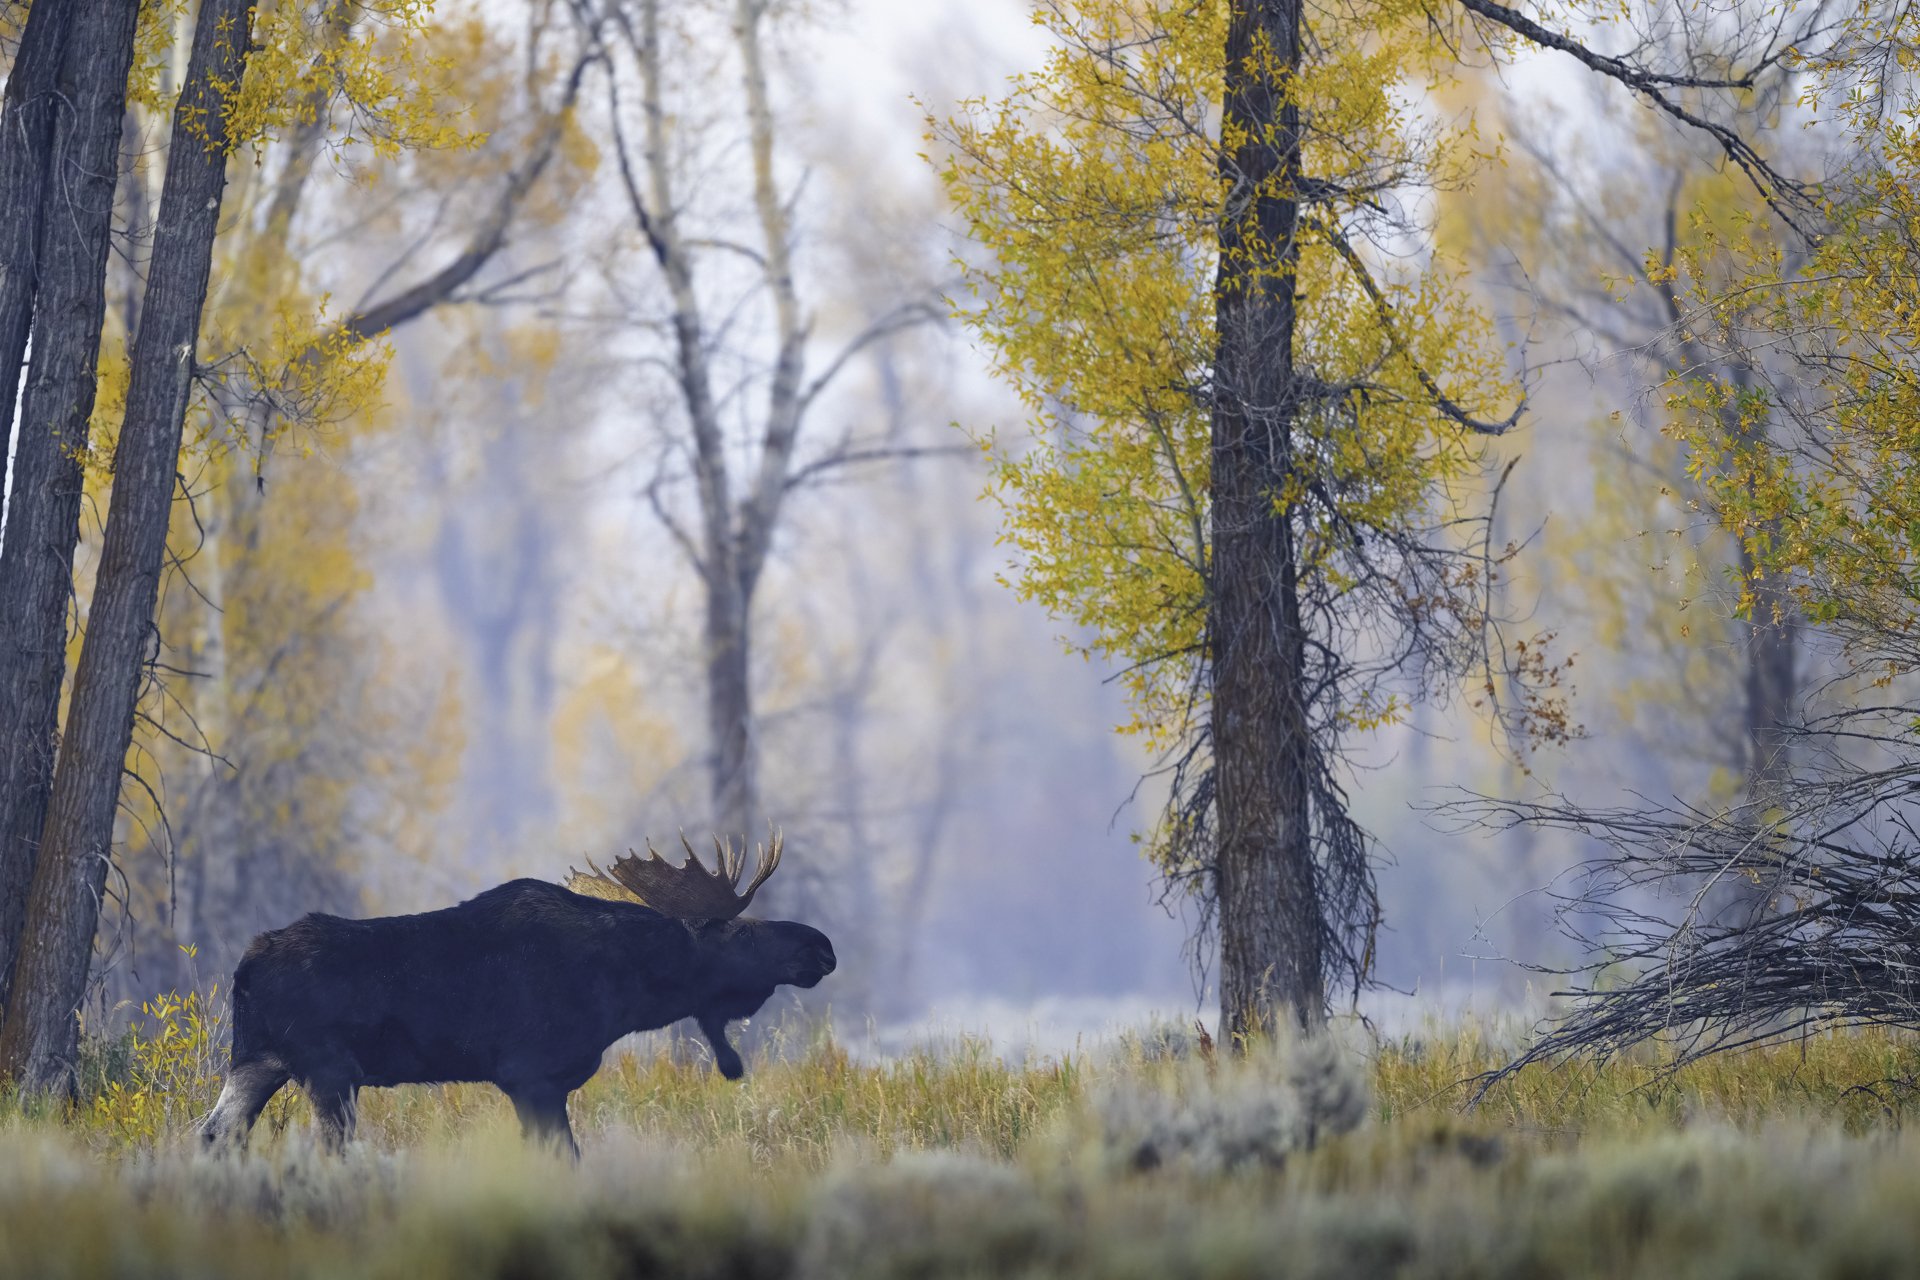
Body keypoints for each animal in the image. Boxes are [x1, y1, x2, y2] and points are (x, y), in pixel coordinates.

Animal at [201, 830, 832, 1156]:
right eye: (743, 932)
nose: (822, 945)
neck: (625, 994)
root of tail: (245, 968)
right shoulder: (531, 1074)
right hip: (330, 1070)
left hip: (257, 1060)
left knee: (214, 1134)